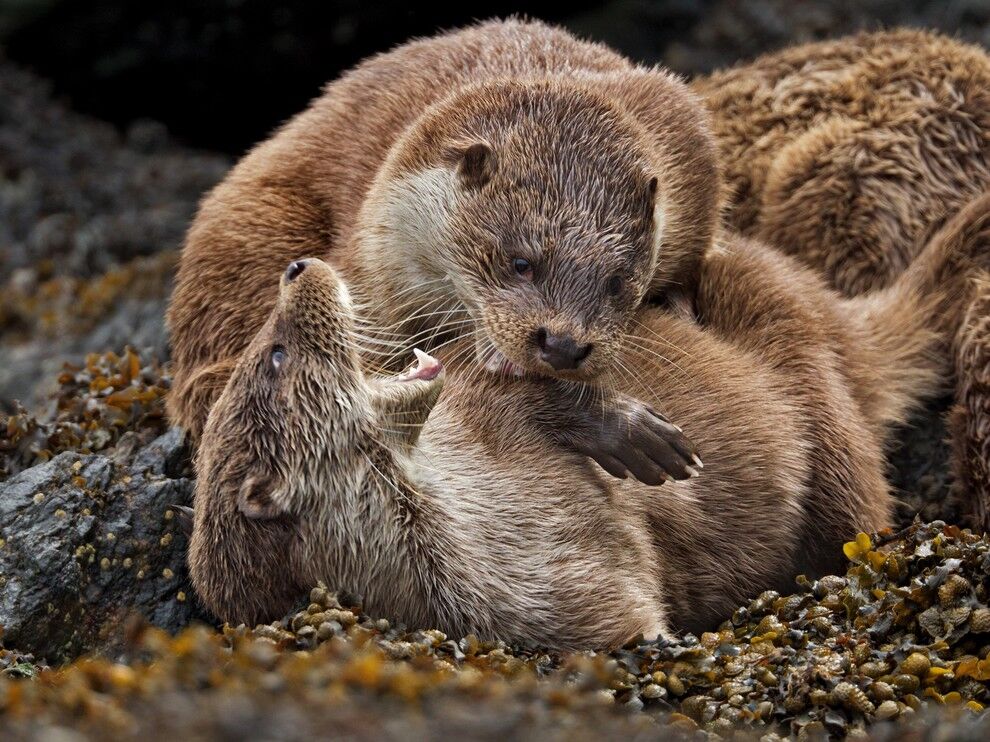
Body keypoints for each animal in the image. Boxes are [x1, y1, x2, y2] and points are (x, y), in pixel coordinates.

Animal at [186, 193, 990, 652]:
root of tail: (839, 331)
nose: (297, 268)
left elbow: (509, 384)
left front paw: (621, 432)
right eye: (278, 356)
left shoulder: (479, 422)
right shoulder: (563, 614)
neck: (486, 525)